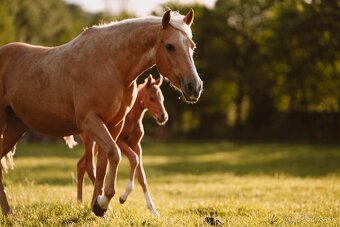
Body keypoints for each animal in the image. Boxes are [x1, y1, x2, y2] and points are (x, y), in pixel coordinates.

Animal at [65, 74, 166, 216]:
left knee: (81, 165)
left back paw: (81, 202)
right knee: (88, 165)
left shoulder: (137, 145)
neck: (132, 118)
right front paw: (123, 197)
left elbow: (142, 176)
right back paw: (95, 202)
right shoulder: (120, 142)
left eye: (162, 98)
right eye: (151, 98)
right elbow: (134, 159)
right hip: (91, 141)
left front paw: (153, 210)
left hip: (98, 144)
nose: (164, 117)